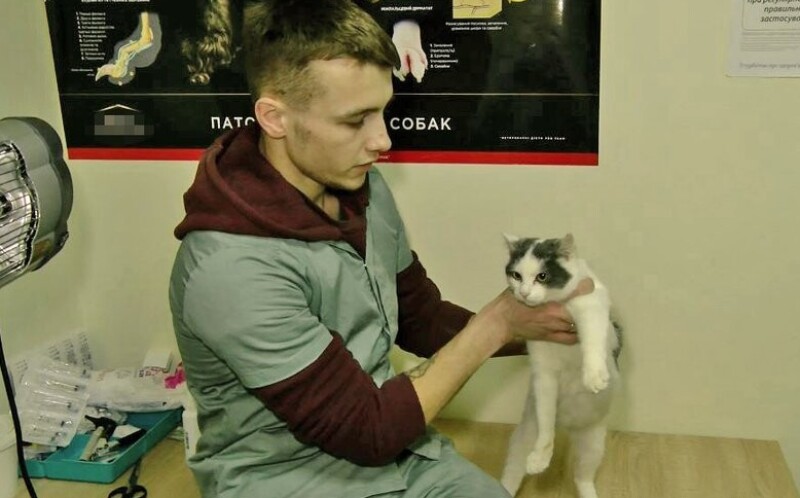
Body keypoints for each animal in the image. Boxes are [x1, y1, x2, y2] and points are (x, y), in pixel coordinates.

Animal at [499, 233, 621, 498]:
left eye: (542, 276)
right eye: (516, 275)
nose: (524, 292)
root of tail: (567, 425)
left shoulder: (591, 303)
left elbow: (593, 337)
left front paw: (593, 374)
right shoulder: (544, 374)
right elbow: (545, 422)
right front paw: (541, 456)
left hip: (593, 444)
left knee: (582, 476)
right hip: (524, 435)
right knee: (514, 467)